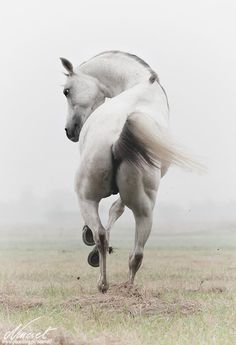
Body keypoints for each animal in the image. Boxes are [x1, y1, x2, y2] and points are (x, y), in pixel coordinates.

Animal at [60, 51, 197, 292]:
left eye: (66, 90)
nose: (70, 130)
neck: (141, 84)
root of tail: (117, 138)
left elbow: (113, 210)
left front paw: (88, 239)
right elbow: (116, 209)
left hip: (86, 197)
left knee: (101, 234)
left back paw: (103, 281)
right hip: (144, 208)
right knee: (136, 253)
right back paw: (126, 287)